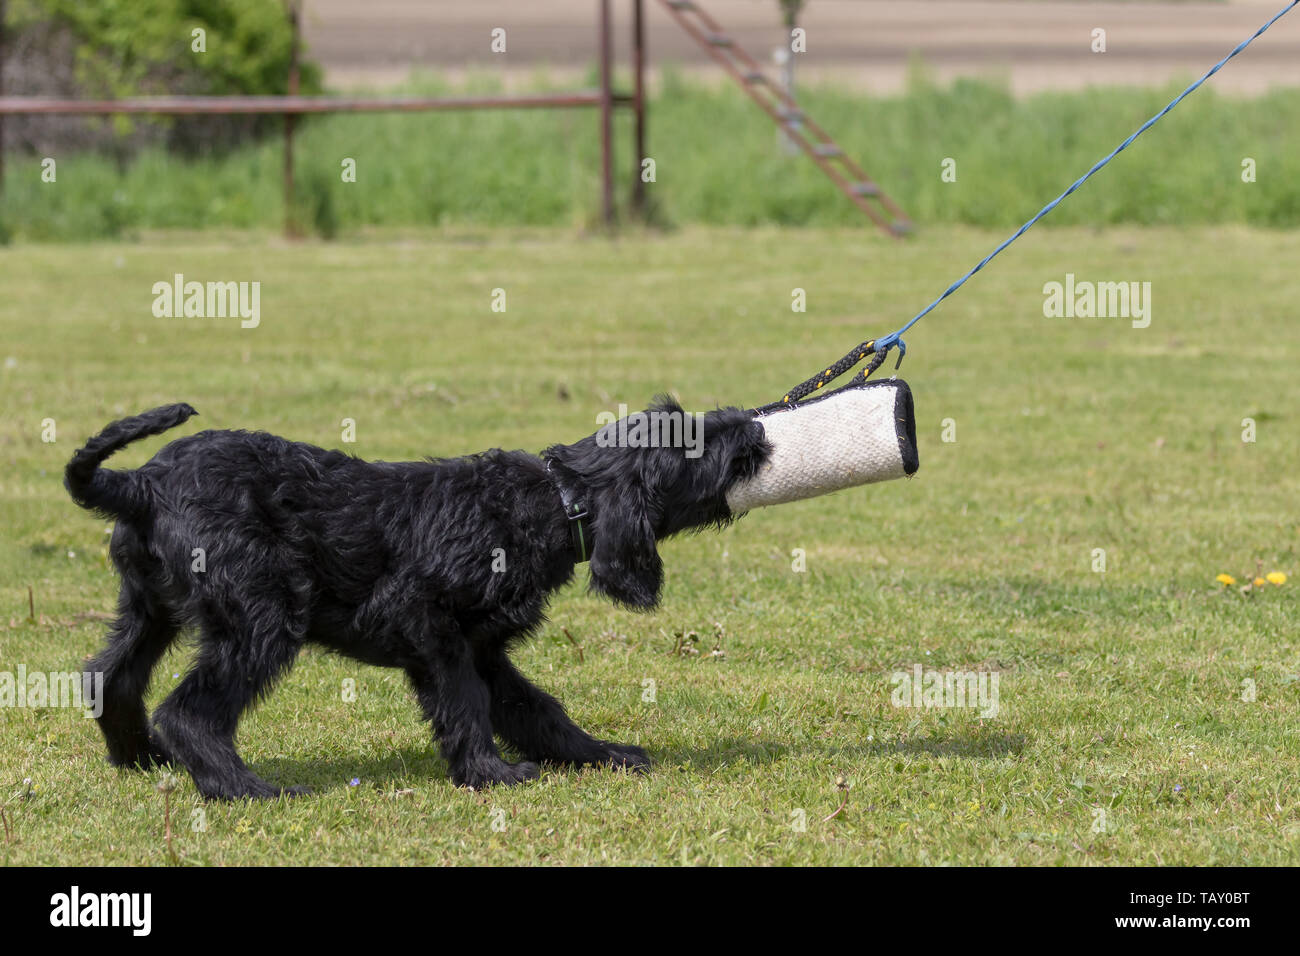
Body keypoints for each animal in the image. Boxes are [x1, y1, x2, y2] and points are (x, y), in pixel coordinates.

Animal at [65, 403, 764, 801]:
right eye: (691, 440)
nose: (753, 426)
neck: (555, 500)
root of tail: (140, 484)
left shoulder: (485, 647)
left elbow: (536, 709)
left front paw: (597, 755)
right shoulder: (430, 625)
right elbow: (464, 702)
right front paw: (489, 774)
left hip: (149, 610)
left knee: (108, 677)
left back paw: (144, 759)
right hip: (261, 619)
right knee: (189, 711)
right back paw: (242, 788)